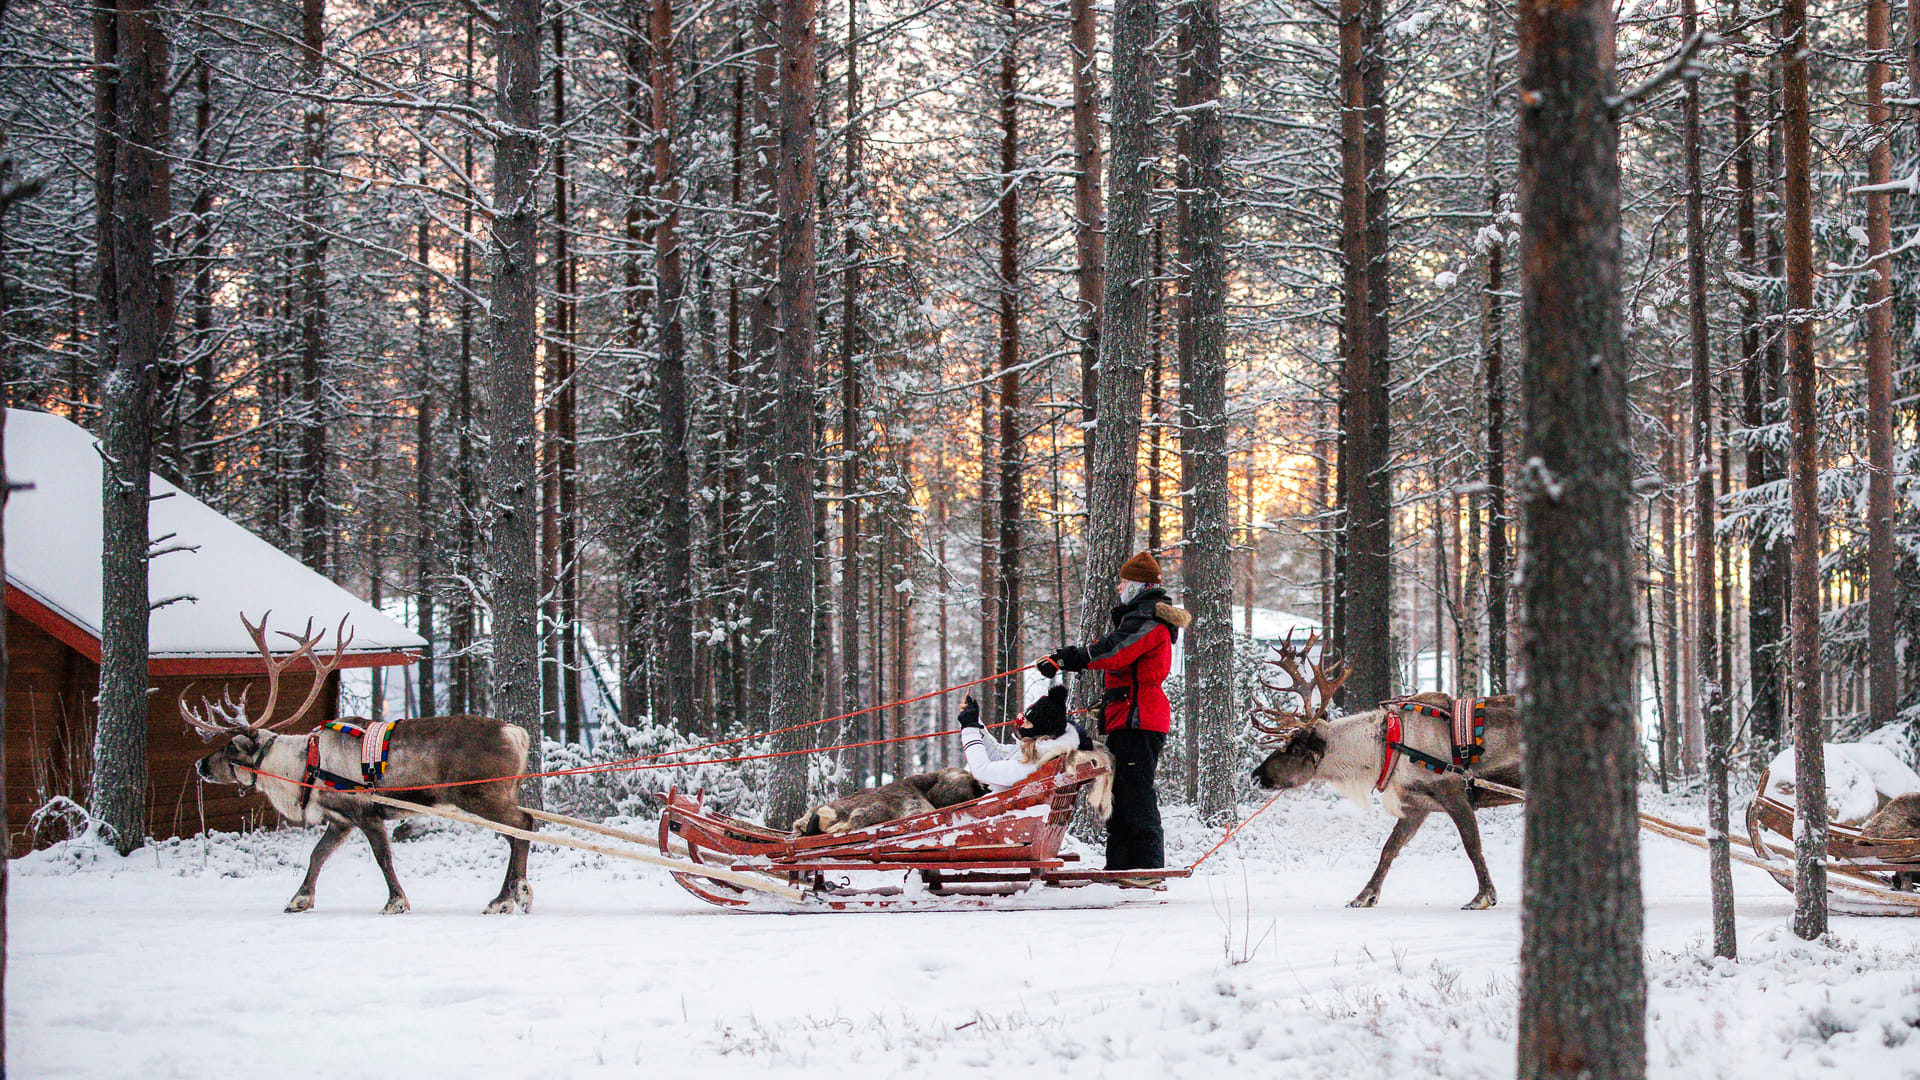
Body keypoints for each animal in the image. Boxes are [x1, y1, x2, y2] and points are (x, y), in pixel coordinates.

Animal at [183, 612, 536, 915]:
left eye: (230, 747)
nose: (200, 765)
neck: (305, 765)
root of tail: (517, 733)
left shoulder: (365, 813)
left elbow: (382, 858)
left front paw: (395, 901)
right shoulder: (340, 820)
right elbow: (317, 854)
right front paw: (299, 899)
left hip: (480, 796)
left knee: (523, 824)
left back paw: (513, 895)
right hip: (496, 796)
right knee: (518, 831)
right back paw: (508, 896)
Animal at [1248, 633, 1523, 910]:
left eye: (1294, 749)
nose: (1256, 775)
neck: (1386, 748)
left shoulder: (1455, 794)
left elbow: (1472, 846)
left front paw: (1483, 897)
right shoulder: (1416, 805)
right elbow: (1389, 848)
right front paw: (1363, 897)